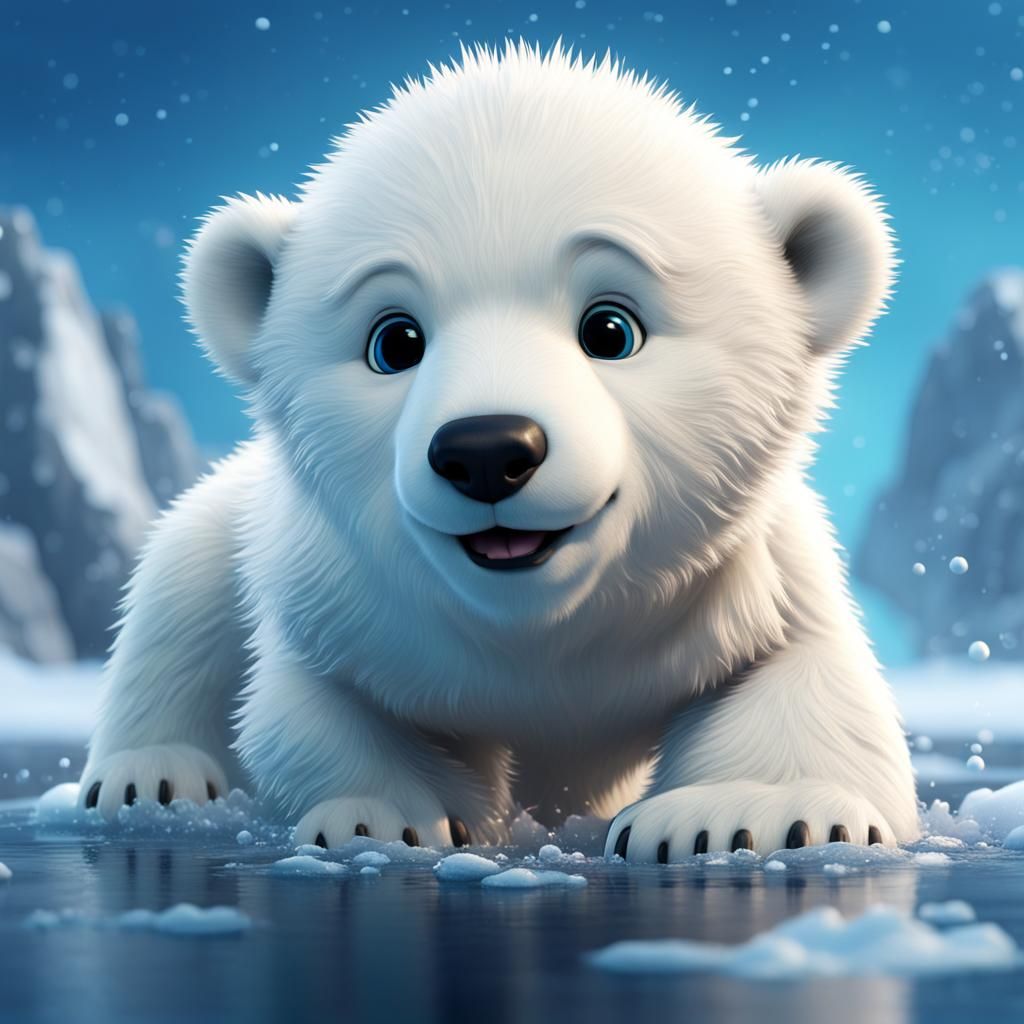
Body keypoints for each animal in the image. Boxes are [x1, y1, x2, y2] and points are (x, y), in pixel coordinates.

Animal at [79, 42, 919, 861]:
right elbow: (310, 708)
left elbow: (805, 673)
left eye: (611, 329)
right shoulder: (341, 602)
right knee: (180, 588)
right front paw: (393, 819)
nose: (485, 450)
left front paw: (743, 817)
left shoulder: (744, 577)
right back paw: (148, 776)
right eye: (395, 342)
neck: (536, 634)